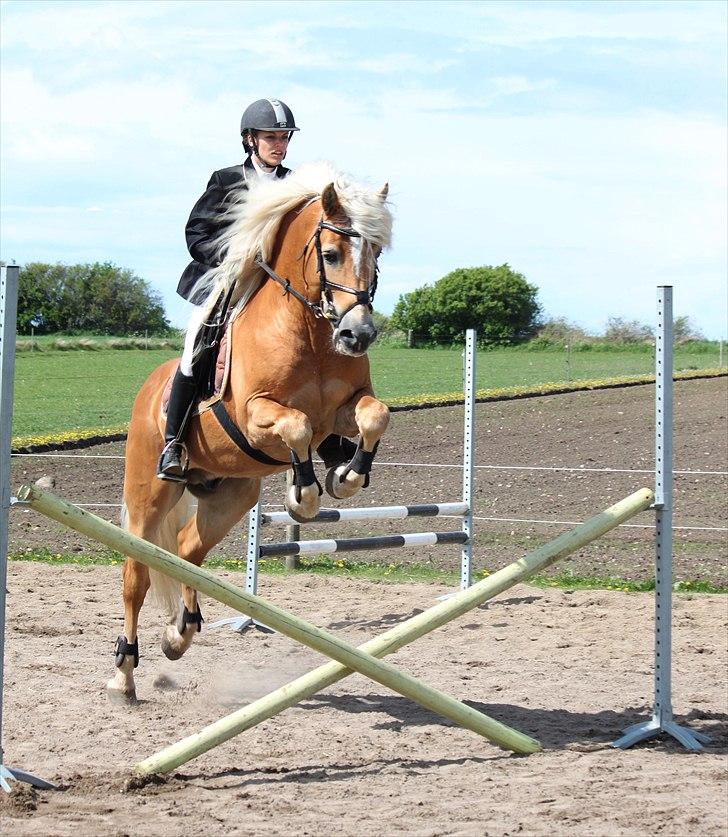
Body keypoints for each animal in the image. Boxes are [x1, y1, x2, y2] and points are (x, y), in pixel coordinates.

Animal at [107, 162, 392, 700]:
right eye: (330, 254)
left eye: (377, 255)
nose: (357, 335)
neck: (310, 332)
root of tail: (146, 392)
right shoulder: (257, 414)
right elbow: (296, 426)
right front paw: (303, 495)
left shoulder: (344, 410)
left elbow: (374, 415)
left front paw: (345, 474)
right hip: (148, 495)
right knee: (137, 573)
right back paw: (123, 674)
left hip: (230, 496)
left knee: (186, 552)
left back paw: (179, 635)